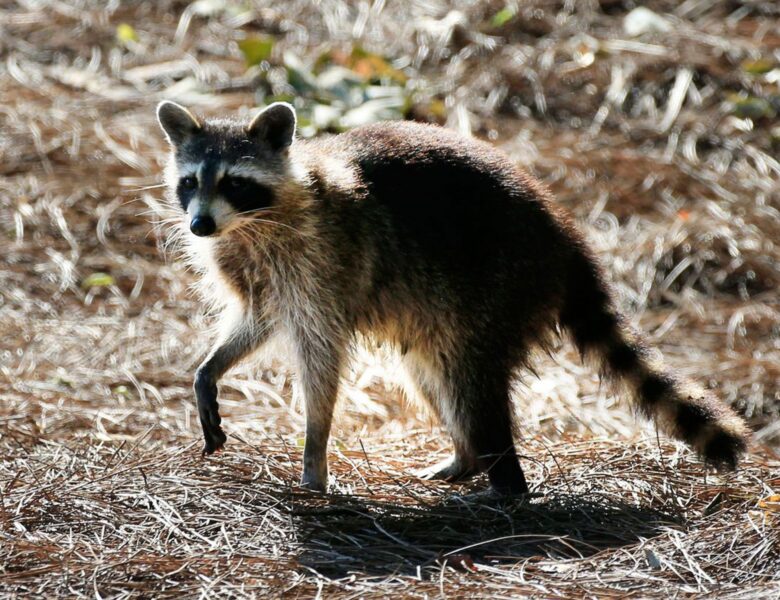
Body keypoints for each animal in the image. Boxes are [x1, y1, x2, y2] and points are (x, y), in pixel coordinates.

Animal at [158, 99, 748, 492]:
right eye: (189, 182)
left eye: (235, 182)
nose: (199, 225)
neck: (249, 224)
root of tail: (564, 236)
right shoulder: (254, 270)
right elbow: (257, 320)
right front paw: (211, 368)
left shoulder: (322, 264)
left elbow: (321, 360)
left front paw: (315, 448)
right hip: (437, 311)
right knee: (431, 373)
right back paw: (466, 458)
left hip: (500, 284)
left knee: (471, 383)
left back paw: (506, 482)